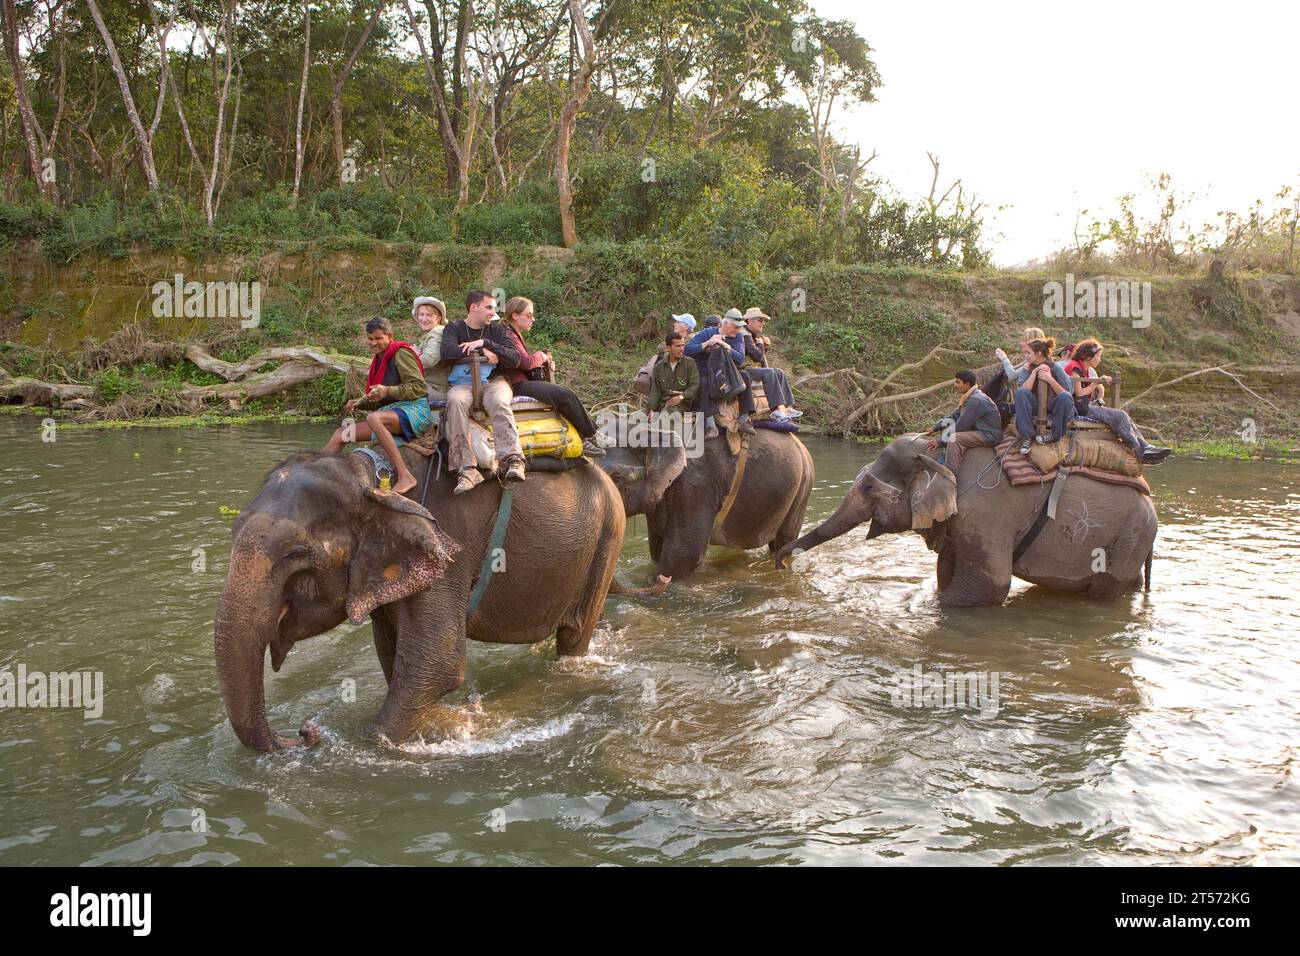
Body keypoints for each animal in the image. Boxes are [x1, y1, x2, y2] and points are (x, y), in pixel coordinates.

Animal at [213, 447, 624, 754]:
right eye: (232, 532)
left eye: (296, 554)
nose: (304, 732)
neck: (372, 479)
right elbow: (393, 656)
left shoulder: (449, 549)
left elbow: (437, 665)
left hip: (607, 537)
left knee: (574, 637)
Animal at [598, 416, 811, 587]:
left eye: (616, 476)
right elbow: (657, 549)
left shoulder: (695, 485)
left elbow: (684, 555)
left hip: (802, 489)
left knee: (783, 542)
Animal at [769, 434, 1159, 606]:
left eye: (868, 487)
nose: (781, 562)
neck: (943, 454)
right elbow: (946, 570)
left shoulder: (987, 514)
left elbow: (989, 586)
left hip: (1128, 537)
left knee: (1105, 591)